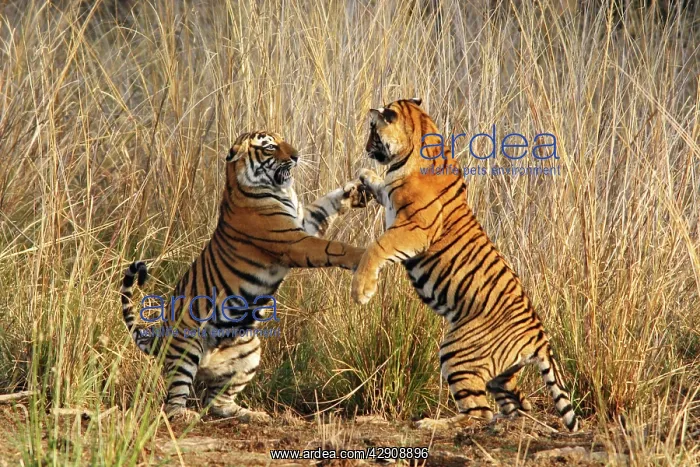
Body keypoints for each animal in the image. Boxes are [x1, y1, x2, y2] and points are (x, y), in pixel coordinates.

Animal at [120, 131, 372, 422]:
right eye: (271, 147)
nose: (297, 156)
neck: (276, 190)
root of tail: (158, 337)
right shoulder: (293, 242)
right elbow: (333, 248)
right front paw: (364, 254)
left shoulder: (303, 222)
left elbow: (326, 204)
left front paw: (355, 190)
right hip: (187, 348)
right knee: (173, 400)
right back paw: (186, 415)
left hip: (250, 351)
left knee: (216, 401)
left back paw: (253, 414)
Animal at [351, 98, 580, 432]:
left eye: (372, 131)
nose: (367, 148)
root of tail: (539, 335)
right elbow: (381, 188)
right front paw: (366, 175)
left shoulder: (413, 229)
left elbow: (375, 248)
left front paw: (361, 291)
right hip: (501, 373)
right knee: (515, 404)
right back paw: (505, 420)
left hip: (457, 351)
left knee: (477, 413)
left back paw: (431, 424)